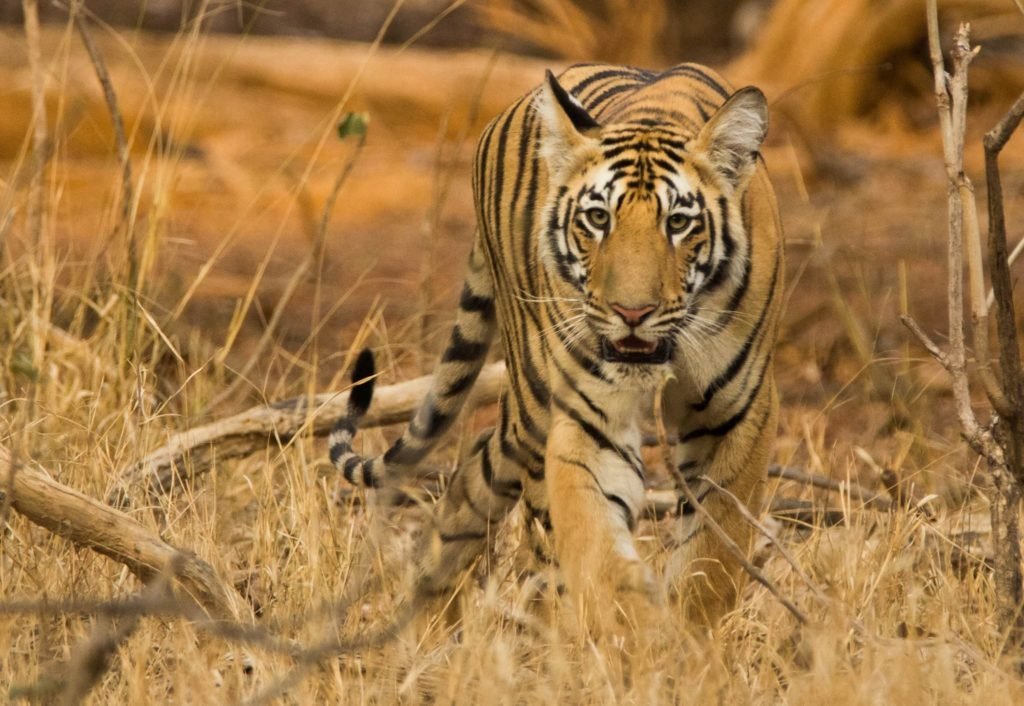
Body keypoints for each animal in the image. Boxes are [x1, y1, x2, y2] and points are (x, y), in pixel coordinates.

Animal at [329, 62, 783, 627]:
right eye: (598, 218)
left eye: (678, 223)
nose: (632, 313)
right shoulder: (588, 417)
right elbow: (593, 542)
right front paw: (621, 630)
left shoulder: (737, 414)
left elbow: (712, 560)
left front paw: (689, 638)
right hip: (532, 401)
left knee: (474, 474)